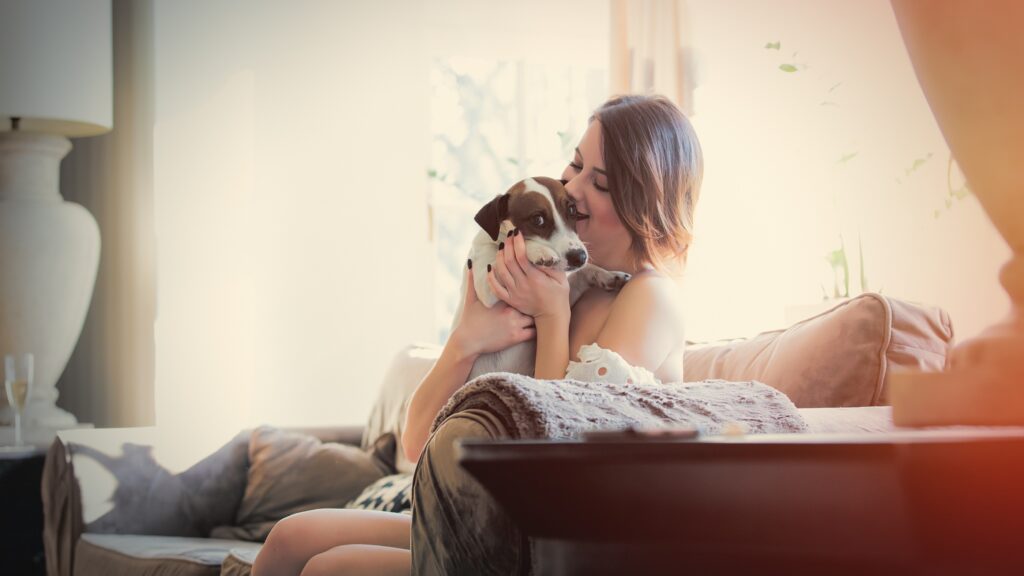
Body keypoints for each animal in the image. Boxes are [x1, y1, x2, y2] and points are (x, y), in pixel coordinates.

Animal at [450, 176, 626, 381]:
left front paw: (610, 275)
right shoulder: (486, 287)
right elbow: (518, 243)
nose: (580, 257)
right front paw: (538, 250)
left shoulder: (556, 299)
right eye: (538, 219)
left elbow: (582, 274)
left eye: (572, 210)